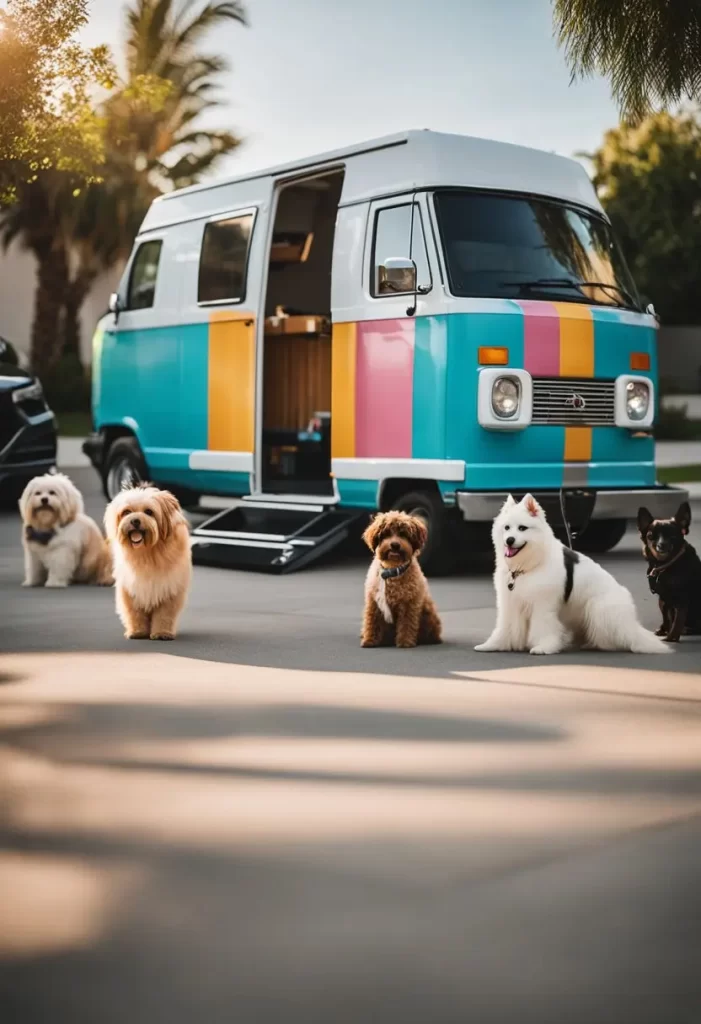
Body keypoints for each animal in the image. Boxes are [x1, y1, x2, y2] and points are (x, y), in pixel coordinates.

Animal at [104, 481, 191, 638]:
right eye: (126, 512)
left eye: (149, 512)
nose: (135, 521)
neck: (147, 552)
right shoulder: (131, 590)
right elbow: (135, 614)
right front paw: (137, 631)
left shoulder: (169, 589)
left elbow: (164, 615)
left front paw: (162, 633)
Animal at [474, 493, 667, 655]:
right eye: (507, 528)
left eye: (522, 528)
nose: (509, 540)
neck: (529, 565)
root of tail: (631, 623)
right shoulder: (511, 604)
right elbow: (505, 626)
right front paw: (494, 645)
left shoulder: (542, 606)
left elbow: (543, 626)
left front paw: (544, 647)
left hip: (598, 609)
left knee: (612, 639)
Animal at [638, 501, 699, 643]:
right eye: (650, 536)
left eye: (673, 536)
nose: (661, 545)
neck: (664, 565)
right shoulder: (663, 599)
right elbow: (666, 616)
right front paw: (664, 630)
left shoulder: (682, 599)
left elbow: (677, 620)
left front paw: (672, 636)